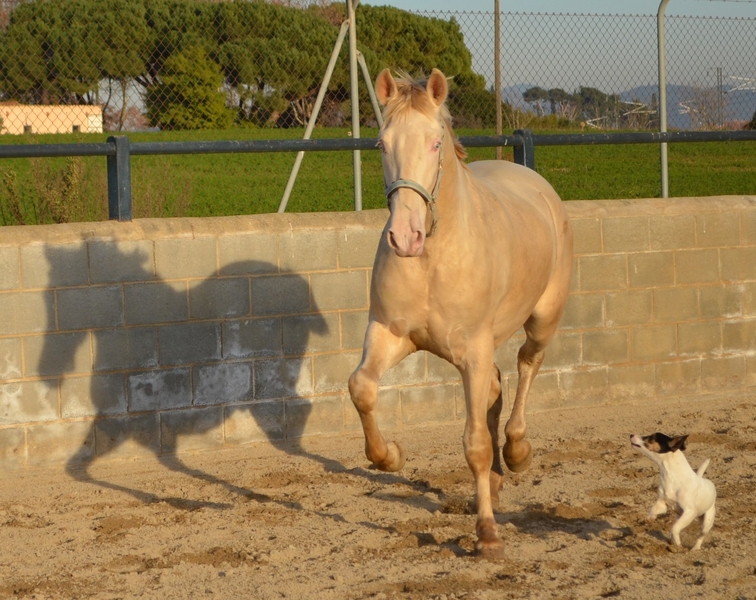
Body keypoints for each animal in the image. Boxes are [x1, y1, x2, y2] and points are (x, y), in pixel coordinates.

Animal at [348, 68, 573, 557]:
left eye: (435, 143)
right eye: (381, 144)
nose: (405, 237)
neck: (434, 258)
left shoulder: (473, 350)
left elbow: (475, 444)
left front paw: (487, 535)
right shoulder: (391, 334)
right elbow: (362, 389)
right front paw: (390, 455)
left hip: (542, 319)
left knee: (528, 364)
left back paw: (517, 452)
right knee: (496, 387)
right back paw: (495, 479)